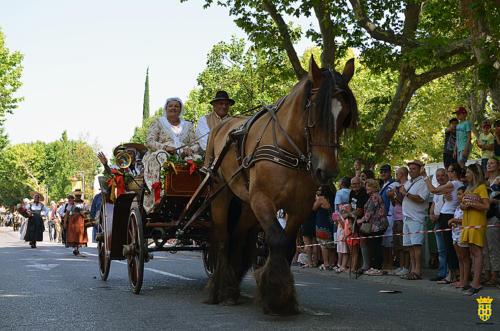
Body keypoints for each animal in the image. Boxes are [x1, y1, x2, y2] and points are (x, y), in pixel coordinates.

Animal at [205, 57, 358, 316]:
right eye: (315, 110)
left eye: (345, 115)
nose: (327, 171)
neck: (289, 149)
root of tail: (222, 125)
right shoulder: (262, 199)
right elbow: (277, 239)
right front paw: (276, 296)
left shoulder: (300, 207)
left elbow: (287, 245)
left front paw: (282, 296)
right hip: (221, 194)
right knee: (224, 237)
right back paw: (221, 290)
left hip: (246, 204)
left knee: (237, 235)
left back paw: (232, 286)